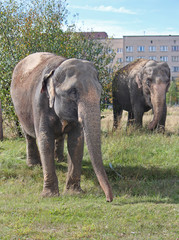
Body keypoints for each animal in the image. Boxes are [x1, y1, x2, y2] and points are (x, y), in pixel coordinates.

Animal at [10, 51, 112, 202]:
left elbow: (76, 141)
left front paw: (74, 193)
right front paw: (49, 195)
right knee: (29, 136)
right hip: (19, 111)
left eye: (100, 91)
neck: (57, 68)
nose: (108, 199)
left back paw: (60, 159)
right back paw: (33, 164)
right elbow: (45, 141)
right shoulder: (39, 103)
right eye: (73, 92)